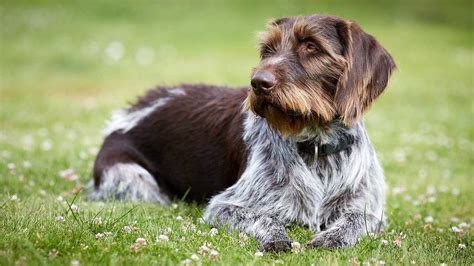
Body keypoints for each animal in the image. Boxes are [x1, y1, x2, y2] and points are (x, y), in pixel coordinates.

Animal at [89, 14, 396, 251]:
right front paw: (276, 239)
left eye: (311, 46)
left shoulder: (369, 210)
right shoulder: (224, 206)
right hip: (134, 180)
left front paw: (331, 239)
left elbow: (354, 220)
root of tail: (127, 112)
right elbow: (265, 218)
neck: (317, 145)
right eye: (268, 50)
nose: (259, 82)